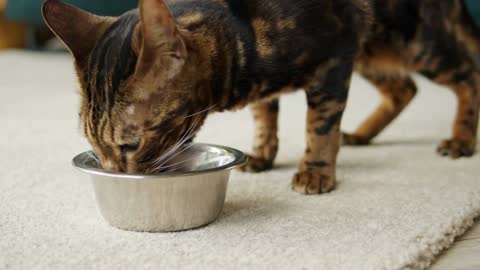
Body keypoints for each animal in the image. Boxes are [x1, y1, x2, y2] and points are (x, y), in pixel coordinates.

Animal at [43, 0, 478, 195]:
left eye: (130, 145)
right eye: (94, 145)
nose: (115, 173)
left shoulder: (334, 59)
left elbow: (319, 126)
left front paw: (316, 172)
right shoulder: (268, 87)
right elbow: (264, 117)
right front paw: (263, 156)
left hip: (415, 42)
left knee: (469, 76)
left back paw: (461, 139)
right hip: (371, 51)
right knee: (405, 89)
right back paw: (361, 134)